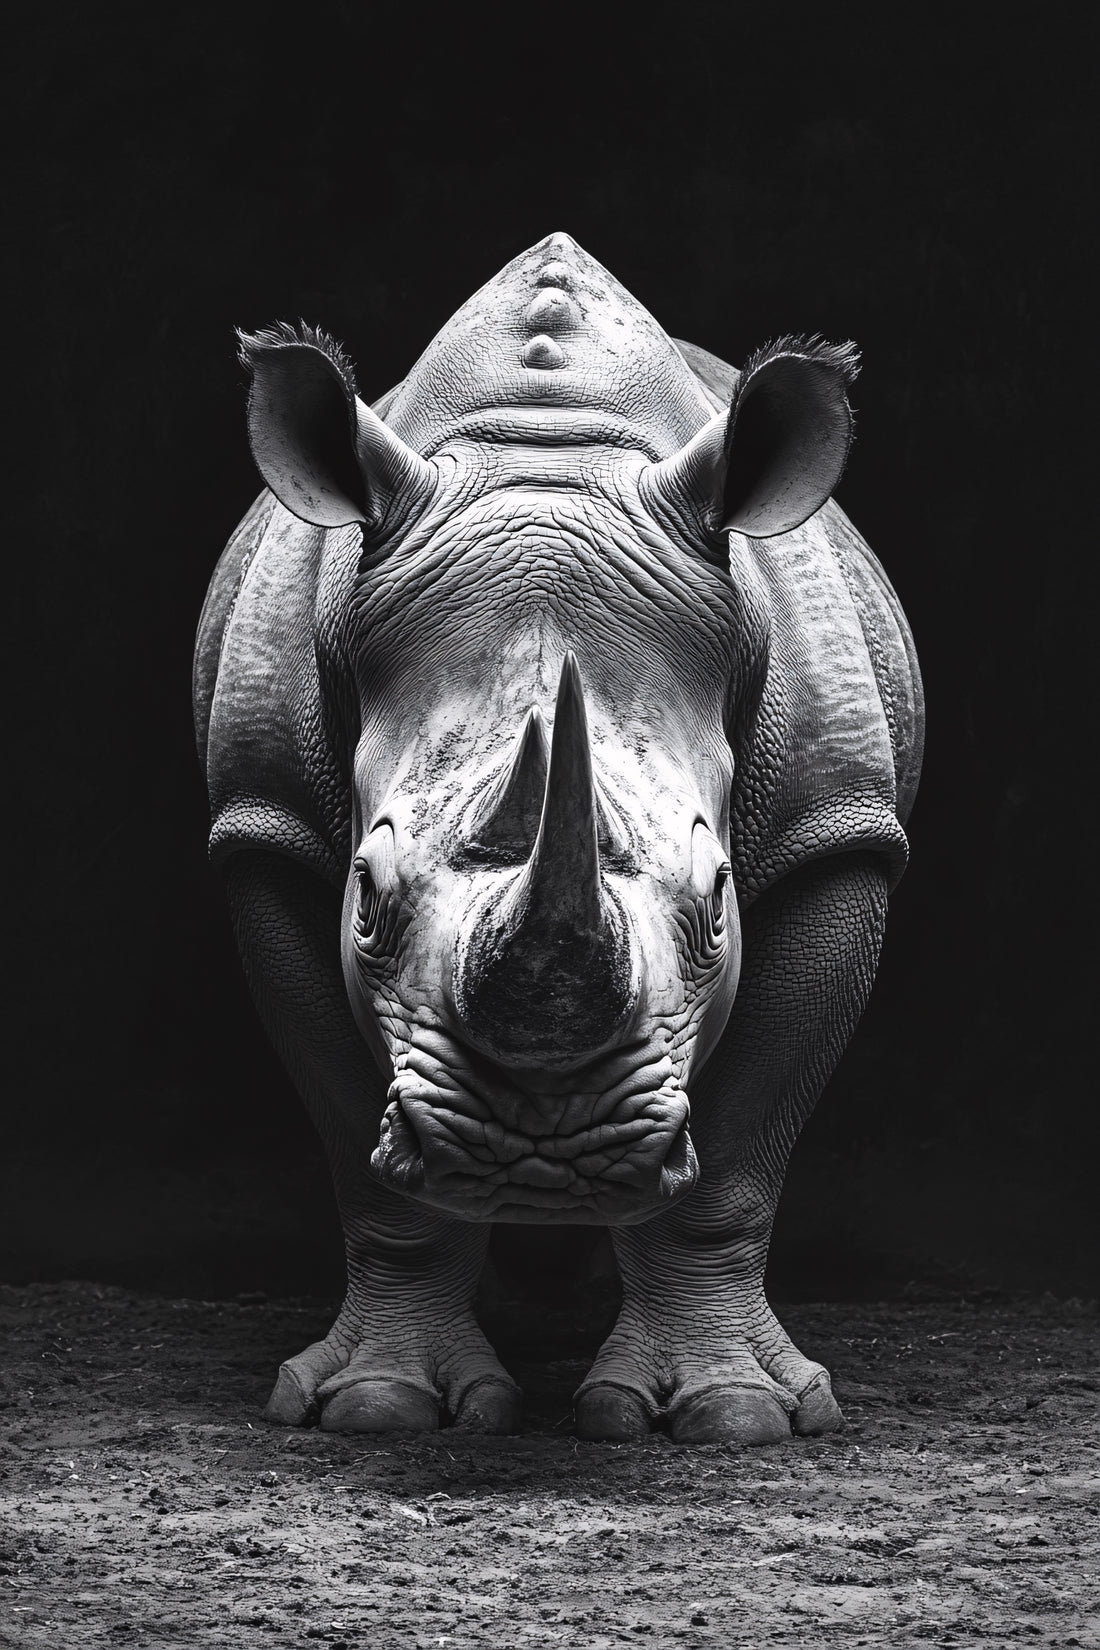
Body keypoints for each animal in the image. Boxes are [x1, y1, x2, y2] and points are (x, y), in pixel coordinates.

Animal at [193, 232, 922, 1444]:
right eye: (365, 894)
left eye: (718, 898)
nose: (540, 1156)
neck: (546, 453)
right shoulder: (266, 829)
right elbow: (364, 1163)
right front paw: (380, 1406)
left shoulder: (838, 831)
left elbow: (736, 1164)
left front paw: (733, 1416)